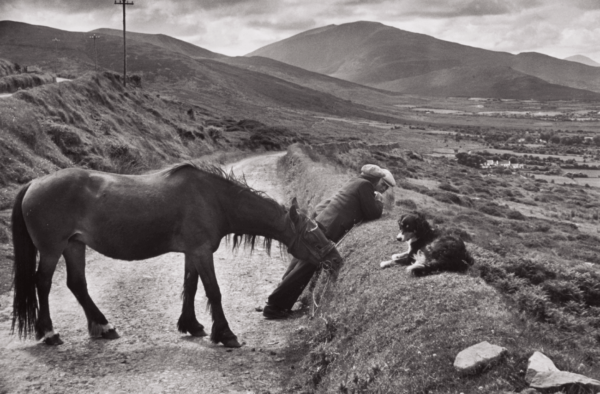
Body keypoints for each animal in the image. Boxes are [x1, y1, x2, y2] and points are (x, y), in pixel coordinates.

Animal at [9, 163, 340, 348]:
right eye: (311, 235)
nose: (336, 259)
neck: (214, 199)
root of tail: (34, 183)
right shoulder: (202, 252)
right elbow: (213, 292)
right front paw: (226, 334)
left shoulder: (192, 253)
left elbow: (190, 287)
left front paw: (191, 325)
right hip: (52, 249)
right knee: (42, 284)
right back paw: (49, 333)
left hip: (74, 246)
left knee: (77, 284)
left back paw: (104, 327)